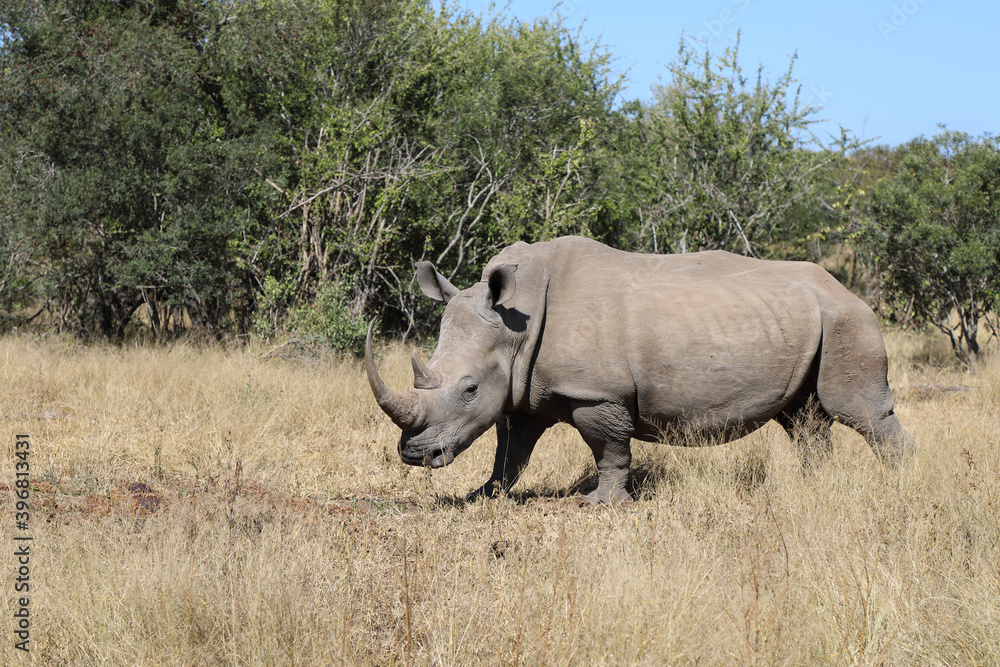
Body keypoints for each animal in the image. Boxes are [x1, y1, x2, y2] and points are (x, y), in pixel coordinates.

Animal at [366, 236, 912, 503]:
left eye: (469, 389)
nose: (413, 454)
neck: (515, 323)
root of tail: (849, 290)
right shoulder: (524, 390)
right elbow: (509, 452)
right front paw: (483, 495)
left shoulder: (594, 392)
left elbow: (608, 448)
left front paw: (600, 504)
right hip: (806, 322)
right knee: (803, 420)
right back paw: (810, 488)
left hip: (847, 320)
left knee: (857, 411)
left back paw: (899, 486)